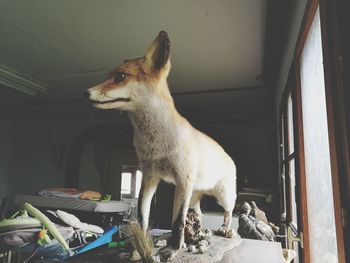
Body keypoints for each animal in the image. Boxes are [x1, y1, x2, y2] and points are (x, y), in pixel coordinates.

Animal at [86, 31, 237, 262]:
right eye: (110, 75)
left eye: (121, 76)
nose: (85, 92)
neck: (155, 143)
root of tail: (228, 156)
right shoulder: (149, 177)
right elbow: (143, 217)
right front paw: (137, 250)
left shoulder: (182, 181)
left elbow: (177, 223)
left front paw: (173, 249)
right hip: (194, 197)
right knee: (199, 214)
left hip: (222, 196)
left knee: (228, 212)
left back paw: (226, 230)